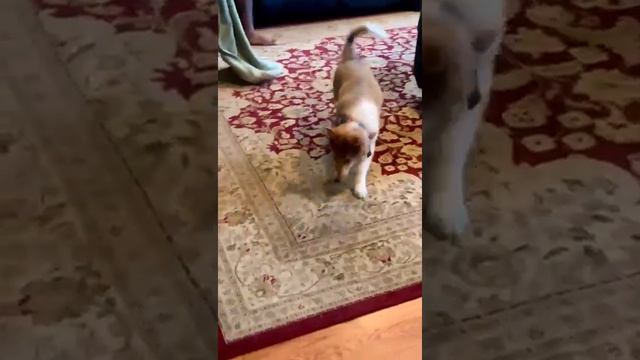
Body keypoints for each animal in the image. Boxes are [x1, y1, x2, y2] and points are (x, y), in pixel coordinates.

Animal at [328, 23, 388, 200]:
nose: (336, 180)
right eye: (335, 157)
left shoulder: (370, 147)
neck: (355, 120)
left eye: (348, 160)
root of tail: (352, 59)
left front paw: (360, 188)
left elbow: (361, 170)